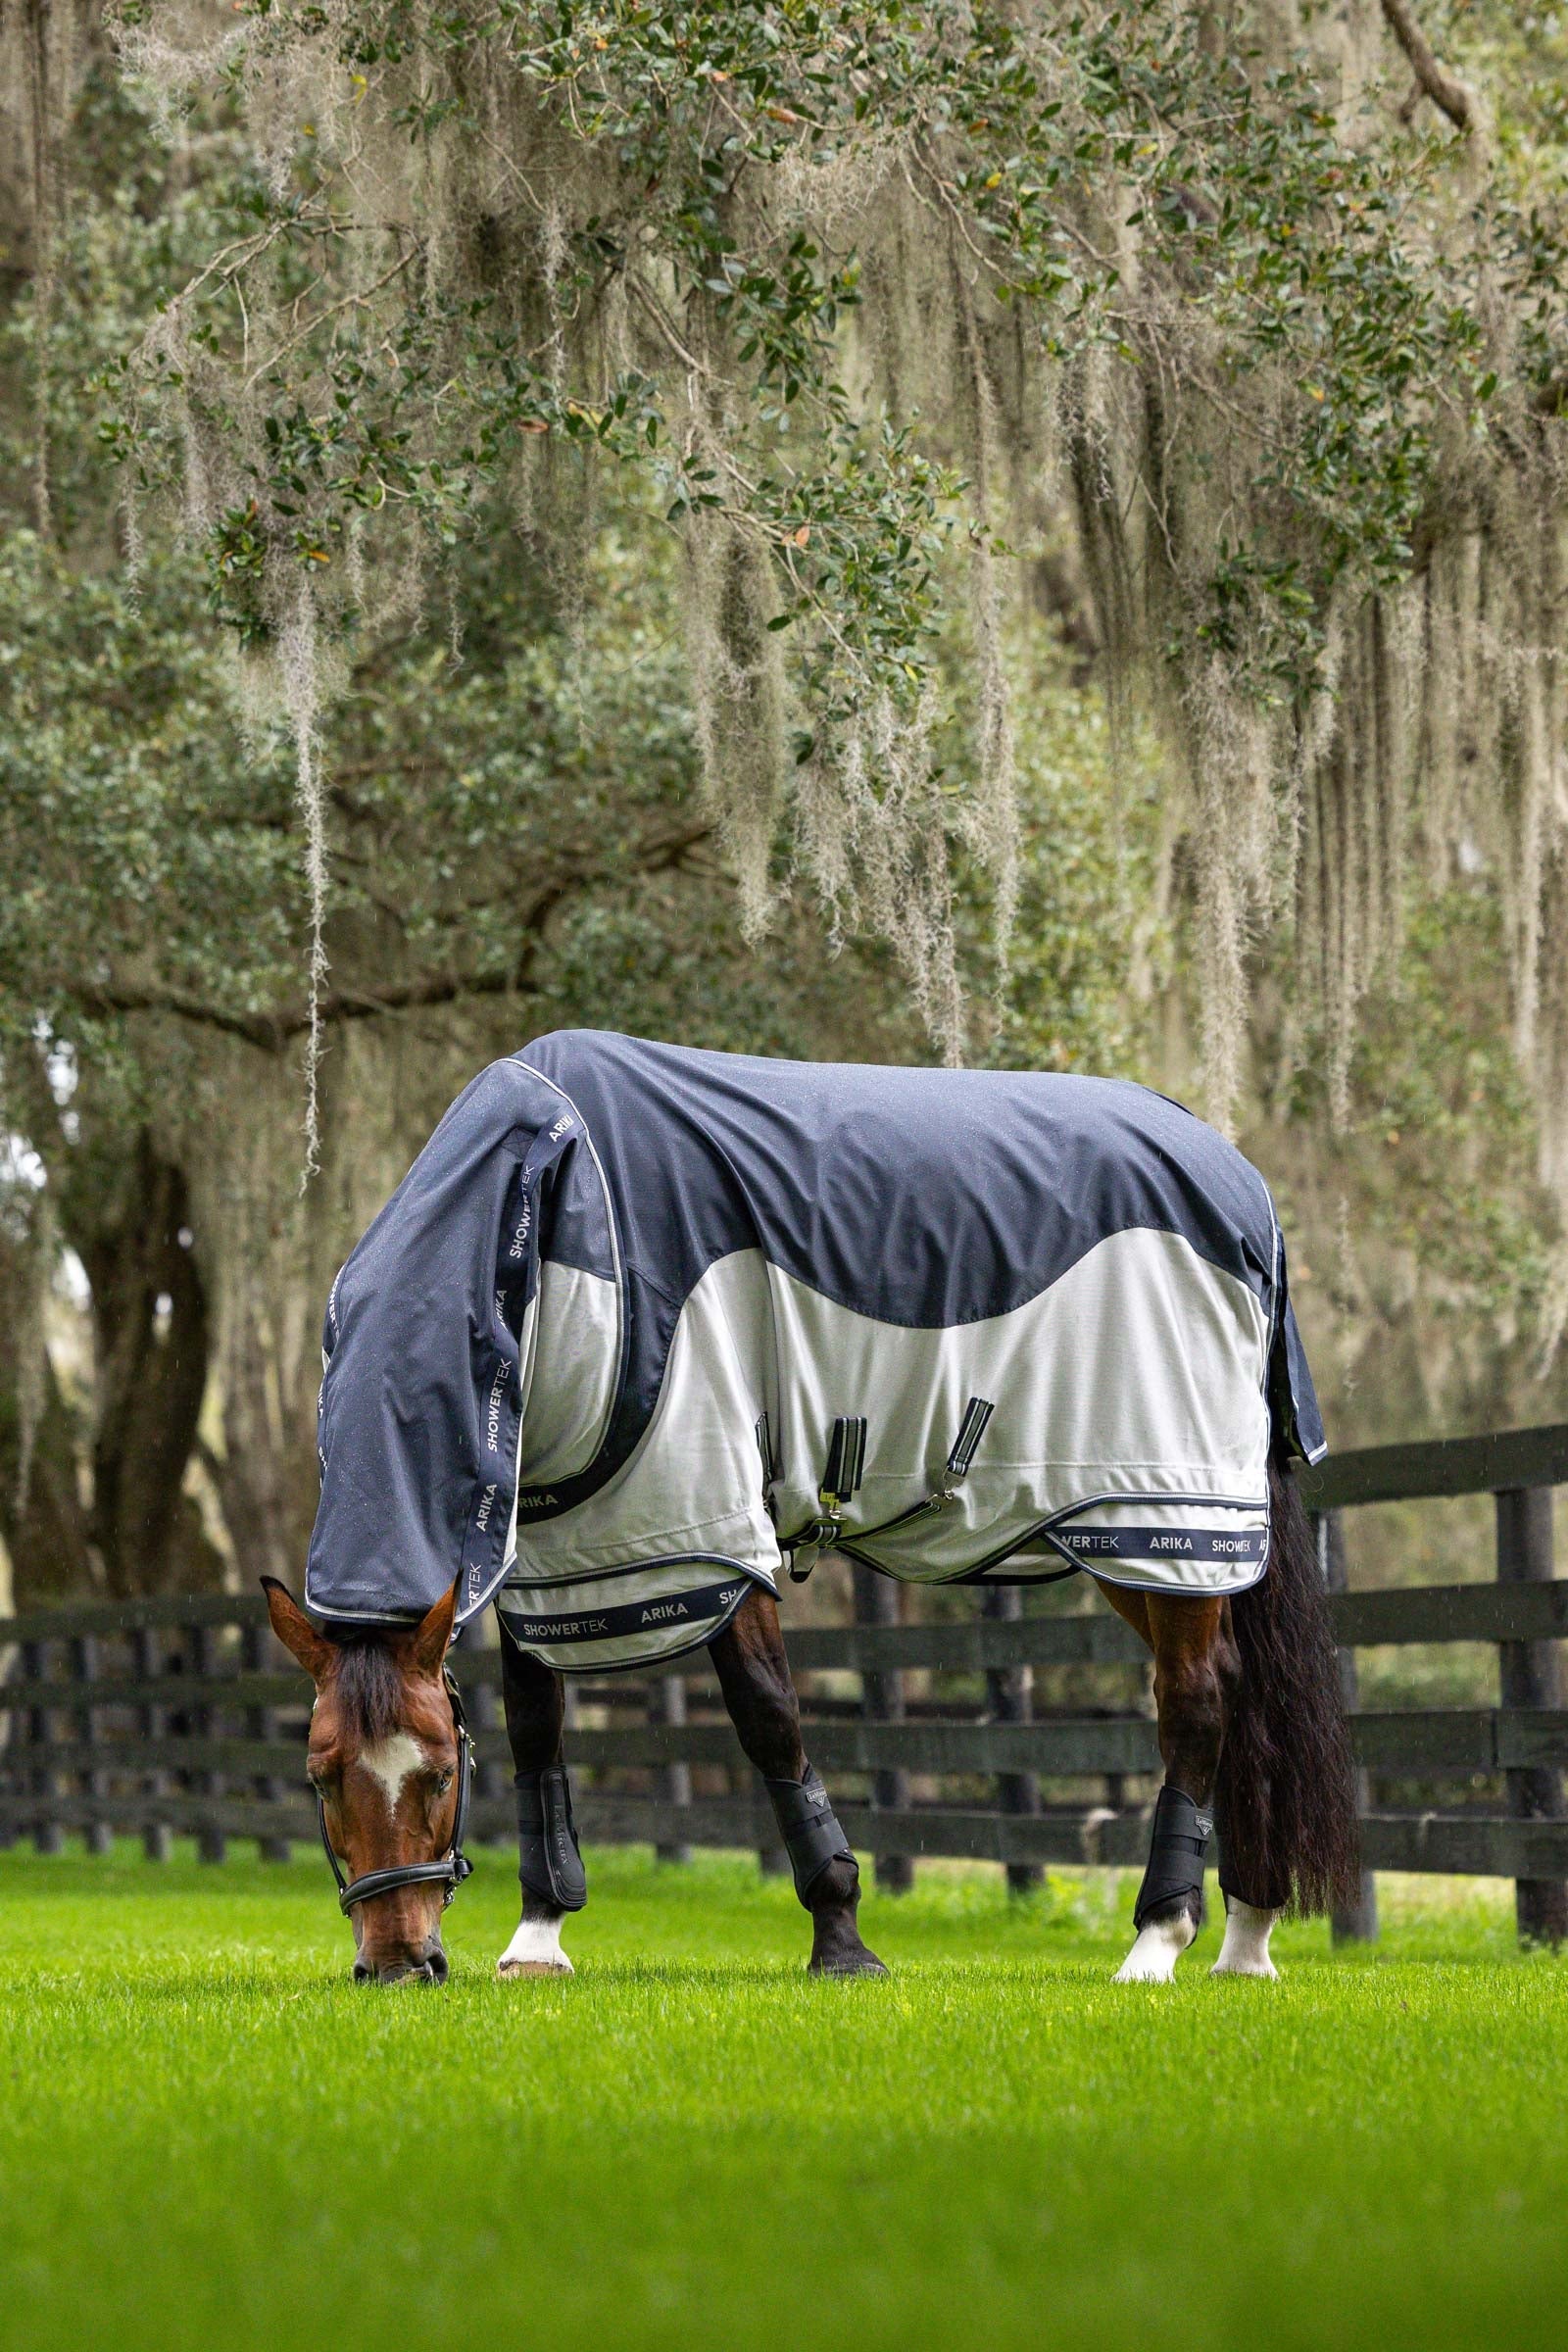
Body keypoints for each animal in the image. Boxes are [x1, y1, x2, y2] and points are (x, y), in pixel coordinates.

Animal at [267, 1030, 1360, 1985]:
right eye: (319, 1776)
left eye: (438, 1776)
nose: (397, 1963)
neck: (555, 1221)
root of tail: (1237, 1183)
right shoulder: (554, 1557)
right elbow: (537, 1727)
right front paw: (537, 1939)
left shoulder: (705, 1534)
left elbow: (769, 1720)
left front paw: (841, 1939)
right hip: (1126, 1537)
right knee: (1234, 1694)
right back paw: (1246, 1938)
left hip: (1165, 1516)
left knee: (1197, 1700)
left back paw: (1158, 1942)